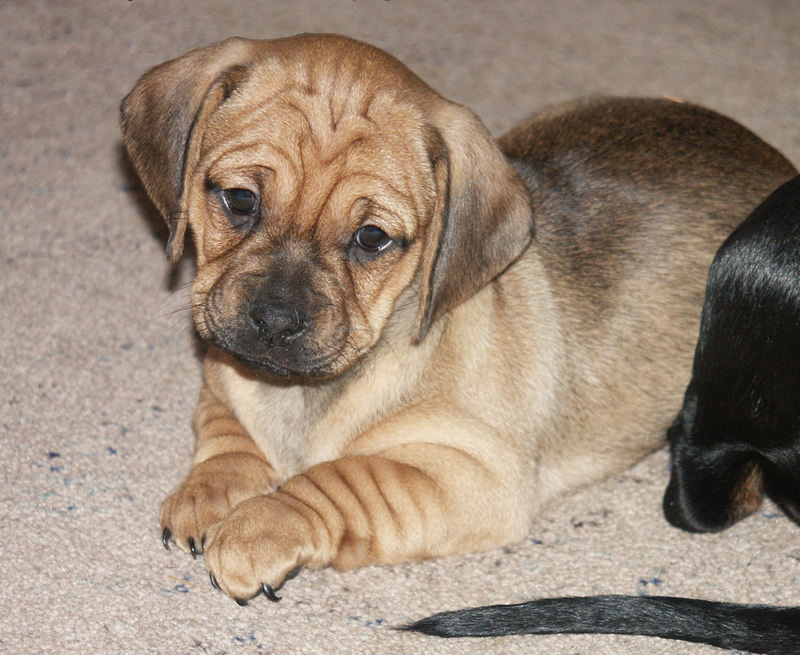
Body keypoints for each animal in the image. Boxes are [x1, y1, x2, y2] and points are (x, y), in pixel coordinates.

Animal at [122, 33, 796, 604]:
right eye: (240, 200)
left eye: (371, 239)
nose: (276, 319)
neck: (303, 395)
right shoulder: (220, 374)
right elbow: (226, 434)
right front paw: (213, 491)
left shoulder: (468, 474)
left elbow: (340, 480)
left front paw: (260, 522)